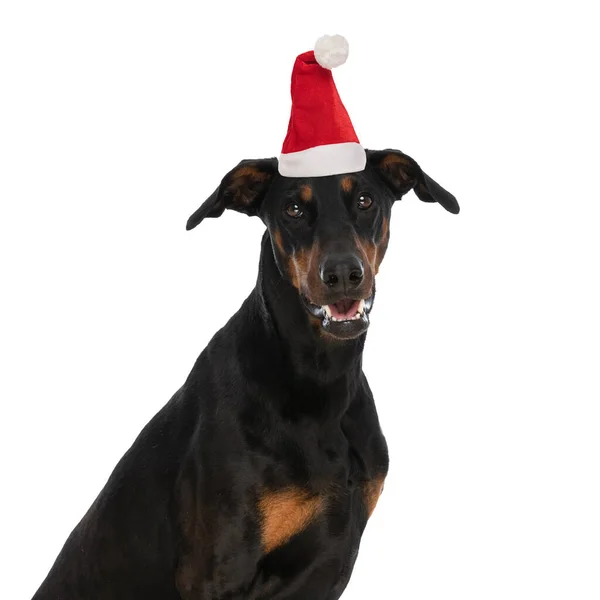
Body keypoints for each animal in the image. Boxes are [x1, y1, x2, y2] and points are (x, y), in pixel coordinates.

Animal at [34, 148, 460, 596]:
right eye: (293, 209)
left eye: (365, 200)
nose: (343, 274)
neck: (319, 383)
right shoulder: (219, 567)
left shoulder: (337, 556)